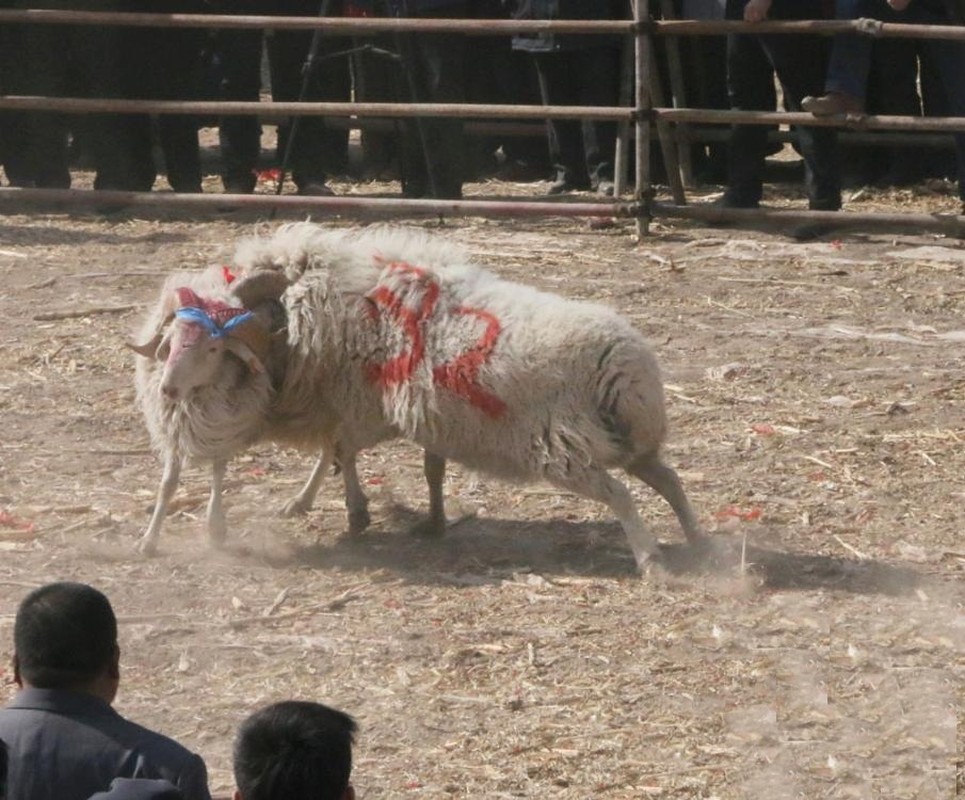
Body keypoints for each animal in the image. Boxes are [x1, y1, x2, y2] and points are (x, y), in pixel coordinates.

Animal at [230, 222, 704, 564]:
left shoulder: (372, 409)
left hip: (563, 448)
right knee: (668, 478)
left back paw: (650, 558)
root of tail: (623, 365)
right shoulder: (427, 415)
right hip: (630, 438)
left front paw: (356, 511)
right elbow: (426, 467)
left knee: (619, 493)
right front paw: (434, 521)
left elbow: (341, 449)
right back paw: (699, 539)